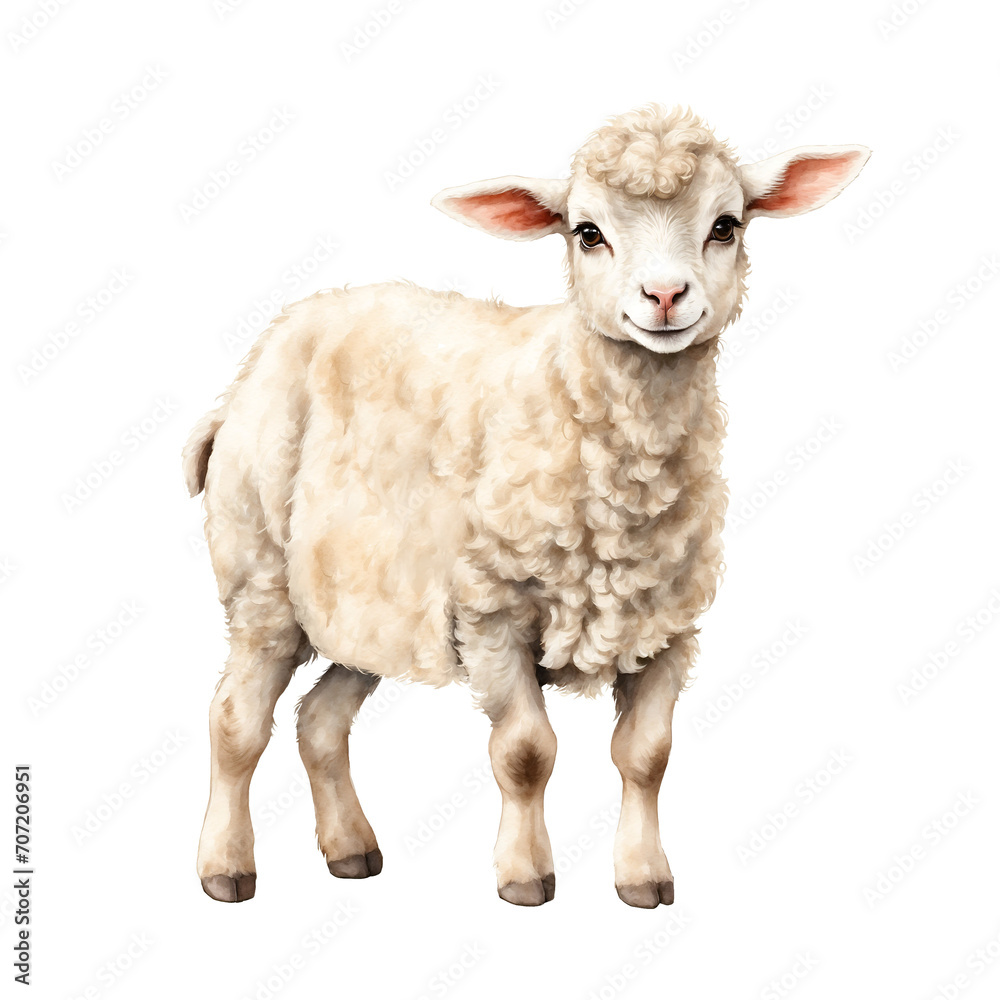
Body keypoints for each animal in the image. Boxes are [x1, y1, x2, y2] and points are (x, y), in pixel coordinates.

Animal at [184, 104, 868, 908]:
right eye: (587, 232)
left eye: (726, 225)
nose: (665, 296)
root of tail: (262, 355)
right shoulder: (493, 610)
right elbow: (524, 753)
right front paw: (524, 877)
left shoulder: (669, 626)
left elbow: (647, 755)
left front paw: (643, 878)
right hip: (260, 572)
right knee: (235, 720)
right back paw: (225, 867)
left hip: (371, 601)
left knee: (320, 720)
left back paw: (351, 851)